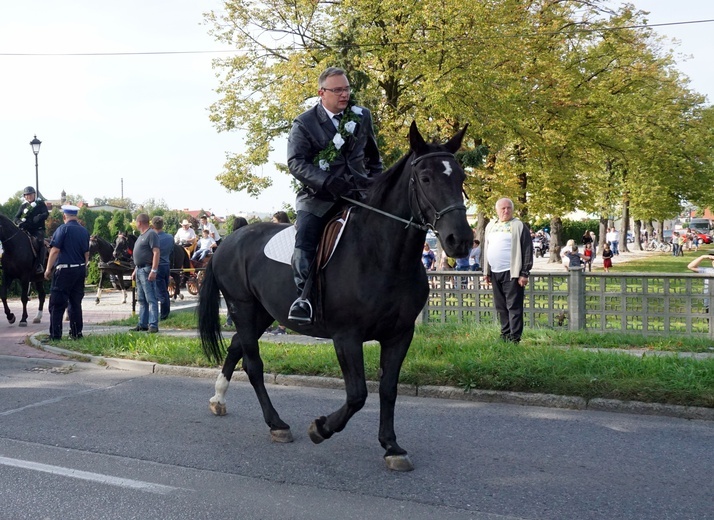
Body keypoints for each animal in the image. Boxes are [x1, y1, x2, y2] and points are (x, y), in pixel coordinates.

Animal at [197, 123, 470, 472]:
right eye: (425, 178)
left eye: (460, 177)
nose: (460, 240)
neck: (383, 255)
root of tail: (229, 240)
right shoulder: (347, 336)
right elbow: (357, 394)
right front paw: (321, 428)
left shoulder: (400, 334)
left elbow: (388, 389)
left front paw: (392, 446)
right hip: (242, 308)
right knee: (253, 364)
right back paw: (277, 424)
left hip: (262, 312)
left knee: (235, 348)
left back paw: (218, 399)